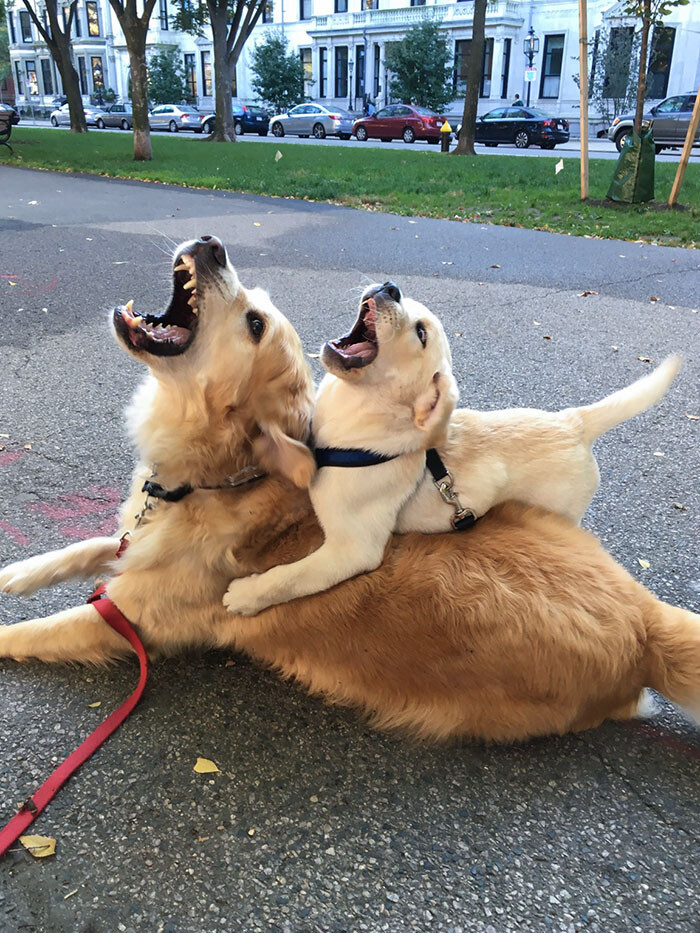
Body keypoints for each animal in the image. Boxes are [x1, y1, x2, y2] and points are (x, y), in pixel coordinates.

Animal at [223, 280, 680, 620]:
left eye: (421, 333)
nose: (390, 286)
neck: (354, 431)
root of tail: (574, 422)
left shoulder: (352, 550)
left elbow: (291, 576)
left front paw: (246, 594)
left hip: (563, 508)